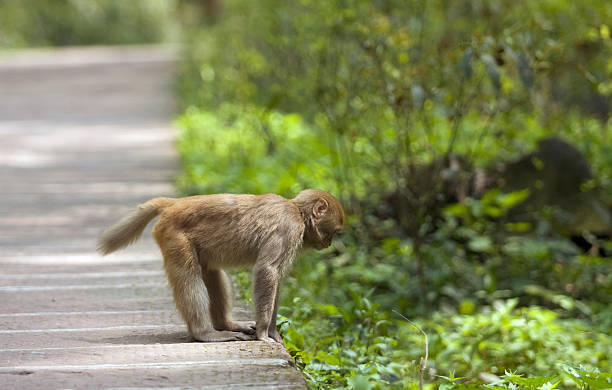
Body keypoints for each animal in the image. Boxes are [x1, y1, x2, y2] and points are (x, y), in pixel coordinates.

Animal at [97, 187, 344, 342]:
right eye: (335, 231)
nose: (330, 243)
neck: (298, 212)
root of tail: (174, 203)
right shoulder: (288, 228)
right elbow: (268, 271)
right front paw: (264, 333)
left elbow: (276, 279)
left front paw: (273, 332)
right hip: (173, 235)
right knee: (188, 276)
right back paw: (204, 333)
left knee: (211, 272)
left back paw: (225, 324)